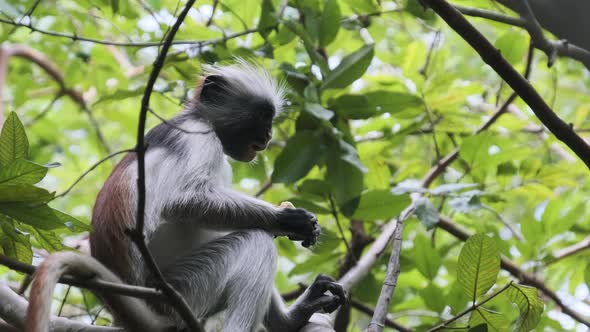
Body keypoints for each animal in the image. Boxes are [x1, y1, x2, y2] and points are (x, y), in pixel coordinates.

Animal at [26, 62, 346, 332]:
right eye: (260, 116)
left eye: (269, 119)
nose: (268, 136)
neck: (196, 117)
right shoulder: (197, 135)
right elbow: (183, 202)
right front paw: (288, 220)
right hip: (181, 290)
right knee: (255, 240)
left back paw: (289, 321)